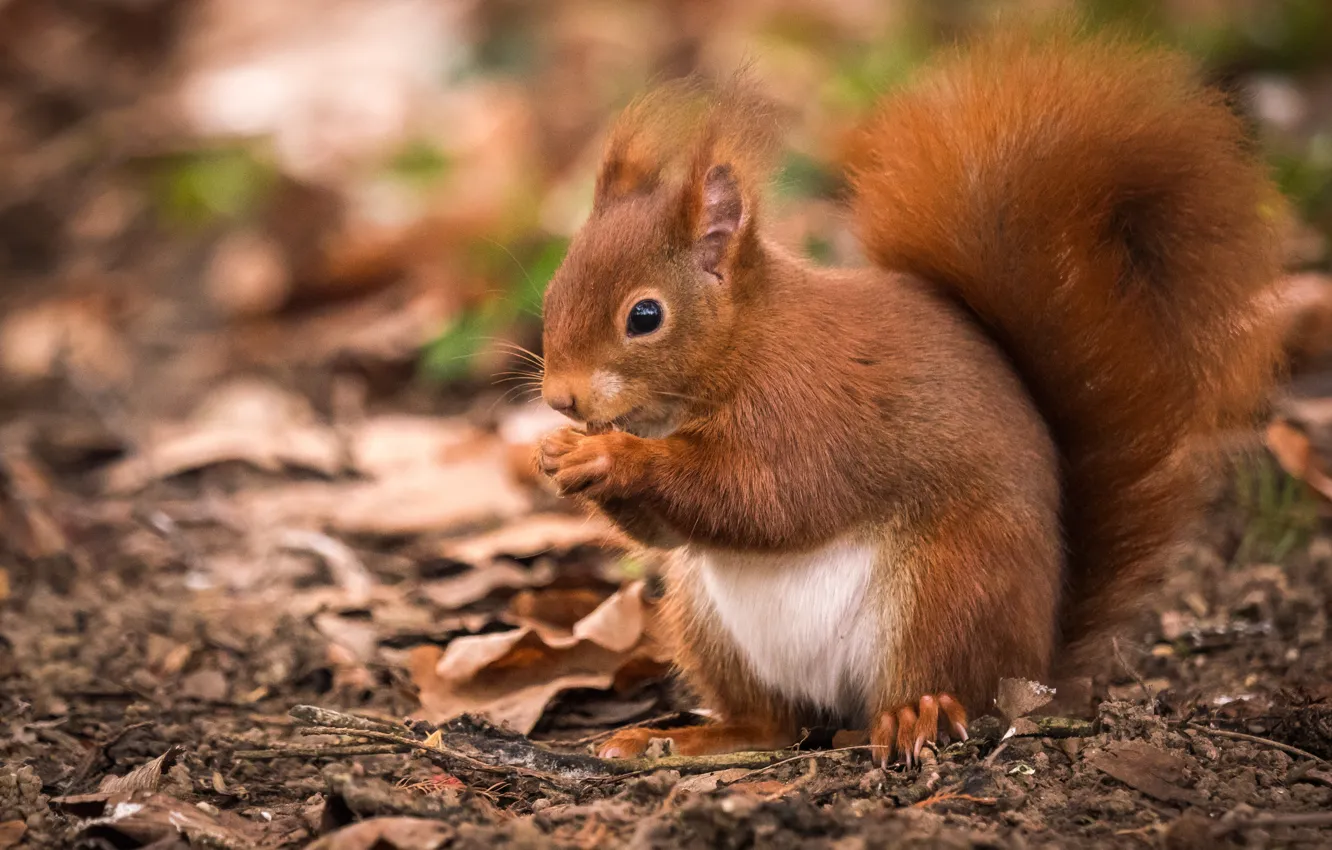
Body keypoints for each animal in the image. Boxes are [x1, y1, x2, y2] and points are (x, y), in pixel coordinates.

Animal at [535, 25, 1286, 765]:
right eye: (552, 291)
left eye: (645, 316)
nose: (560, 399)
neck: (745, 346)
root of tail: (1036, 660)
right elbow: (671, 528)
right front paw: (557, 454)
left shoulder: (808, 410)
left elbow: (762, 497)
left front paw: (610, 457)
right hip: (706, 620)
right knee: (773, 724)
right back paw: (683, 738)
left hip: (948, 590)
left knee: (947, 687)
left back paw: (911, 716)